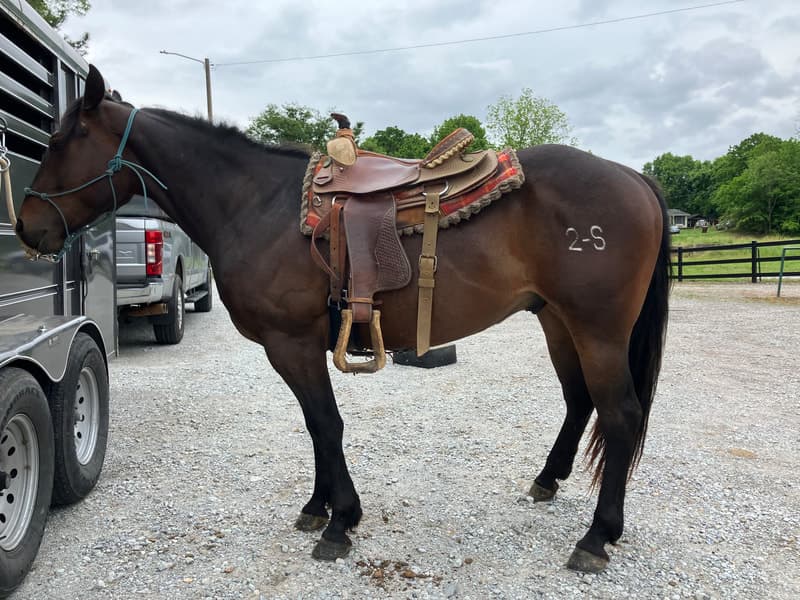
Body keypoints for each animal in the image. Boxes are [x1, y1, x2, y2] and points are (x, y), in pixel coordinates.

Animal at [15, 65, 670, 573]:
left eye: (61, 140)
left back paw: (596, 537)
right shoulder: (297, 348)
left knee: (620, 414)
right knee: (579, 402)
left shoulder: (293, 343)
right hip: (558, 321)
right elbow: (315, 427)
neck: (257, 206)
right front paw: (319, 508)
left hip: (598, 330)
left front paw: (340, 522)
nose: (26, 226)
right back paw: (548, 481)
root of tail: (632, 176)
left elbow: (325, 425)